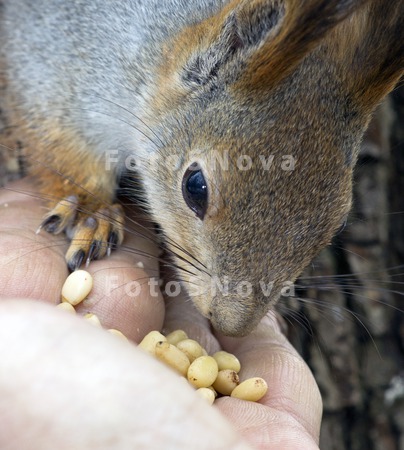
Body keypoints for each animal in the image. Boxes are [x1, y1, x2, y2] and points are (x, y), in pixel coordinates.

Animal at [0, 0, 404, 336]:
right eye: (195, 187)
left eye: (339, 222)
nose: (231, 325)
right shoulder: (48, 65)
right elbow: (58, 146)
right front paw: (90, 211)